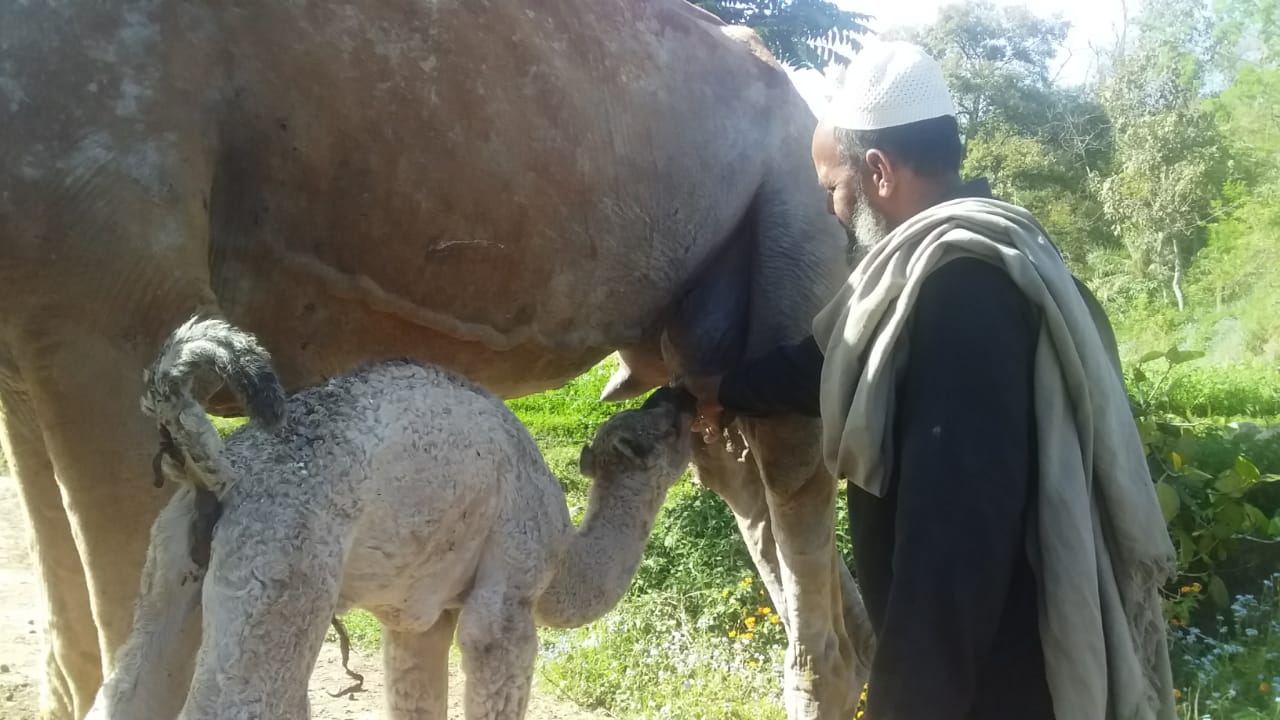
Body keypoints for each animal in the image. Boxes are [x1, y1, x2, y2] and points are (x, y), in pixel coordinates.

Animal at [88, 319, 696, 717]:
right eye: (660, 432)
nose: (679, 396)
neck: (565, 556)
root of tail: (222, 475)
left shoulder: (419, 619)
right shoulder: (507, 601)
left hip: (172, 572)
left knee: (126, 687)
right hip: (283, 574)